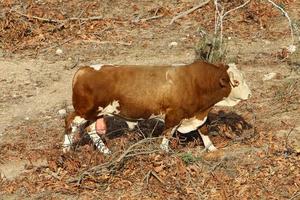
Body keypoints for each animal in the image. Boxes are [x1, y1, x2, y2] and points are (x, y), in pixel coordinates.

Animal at [62, 60, 251, 154]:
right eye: (236, 81)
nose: (249, 94)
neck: (196, 82)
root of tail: (84, 69)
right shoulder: (174, 114)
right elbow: (167, 133)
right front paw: (165, 151)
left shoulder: (197, 114)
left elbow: (203, 129)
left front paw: (211, 148)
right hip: (84, 111)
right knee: (70, 122)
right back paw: (65, 150)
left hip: (95, 114)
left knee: (91, 130)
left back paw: (105, 151)